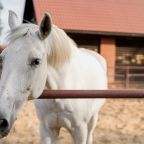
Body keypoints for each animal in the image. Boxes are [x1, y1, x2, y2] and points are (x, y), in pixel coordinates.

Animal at [0, 10, 107, 143]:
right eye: (2, 58)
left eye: (36, 61)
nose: (1, 120)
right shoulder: (47, 129)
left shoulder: (80, 130)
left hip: (92, 119)